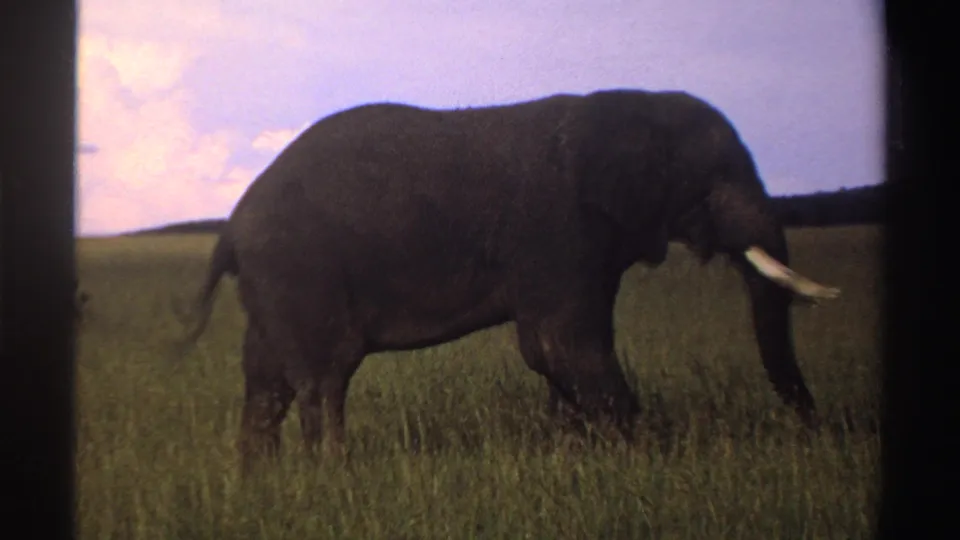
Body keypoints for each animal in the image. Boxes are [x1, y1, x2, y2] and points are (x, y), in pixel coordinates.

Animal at [176, 88, 840, 470]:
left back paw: (261, 479)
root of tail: (231, 227)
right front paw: (652, 458)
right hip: (300, 270)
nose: (819, 433)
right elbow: (560, 344)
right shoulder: (556, 229)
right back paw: (332, 479)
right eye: (716, 177)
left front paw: (581, 457)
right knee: (324, 376)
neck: (622, 107)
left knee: (267, 382)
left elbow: (566, 352)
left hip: (273, 284)